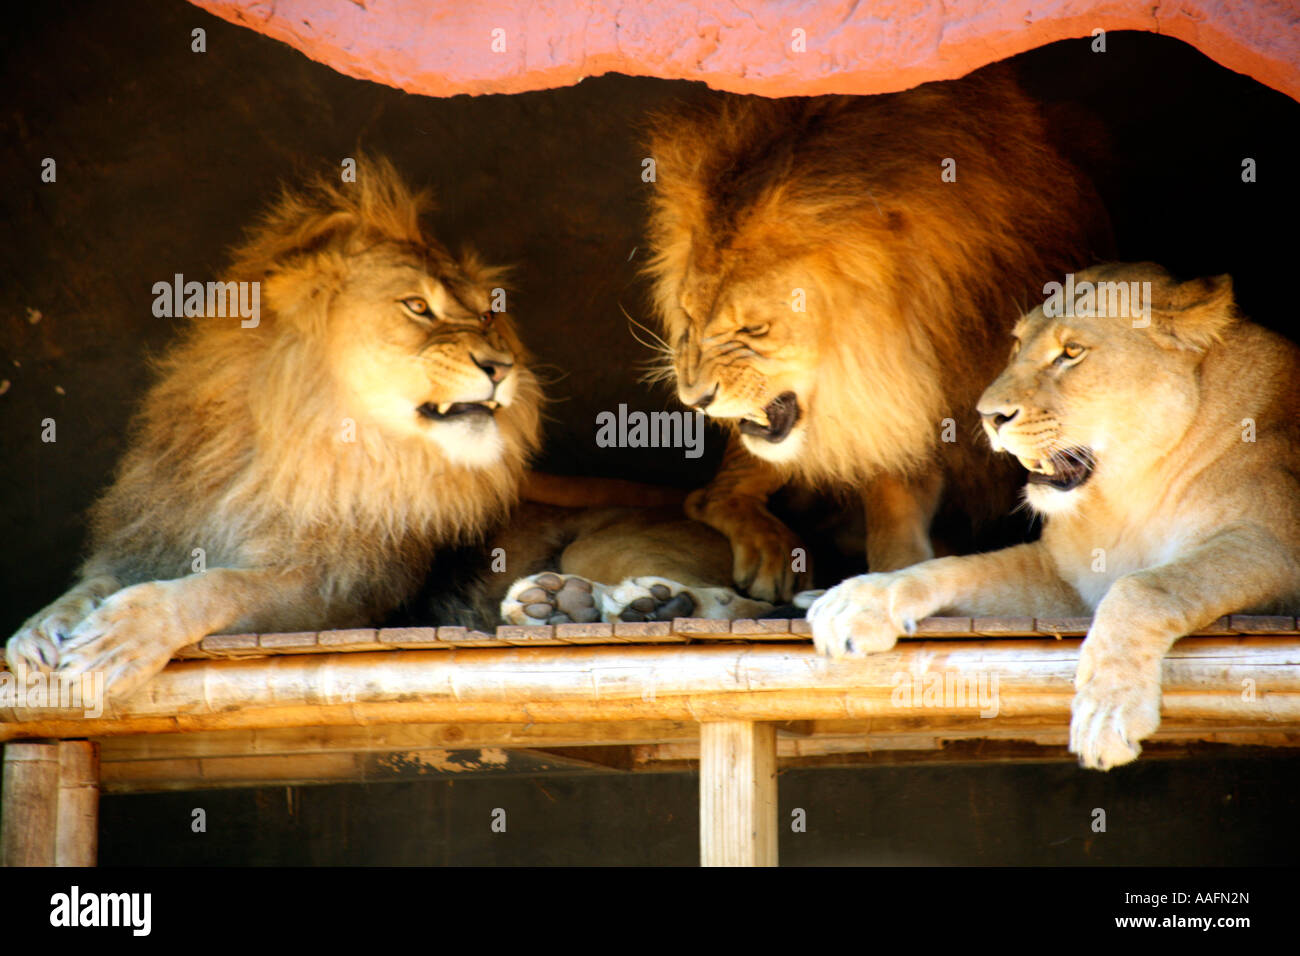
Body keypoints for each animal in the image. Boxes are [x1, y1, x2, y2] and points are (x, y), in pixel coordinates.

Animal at [644, 65, 1112, 598]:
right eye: (688, 316)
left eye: (753, 327)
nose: (694, 399)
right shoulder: (890, 401)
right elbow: (893, 490)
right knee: (707, 498)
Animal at [800, 261, 1300, 770]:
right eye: (1017, 344)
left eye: (1072, 352)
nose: (988, 416)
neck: (1127, 496)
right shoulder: (1067, 579)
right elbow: (955, 567)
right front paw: (859, 601)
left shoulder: (1274, 547)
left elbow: (1145, 586)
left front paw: (1107, 712)